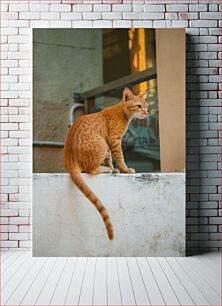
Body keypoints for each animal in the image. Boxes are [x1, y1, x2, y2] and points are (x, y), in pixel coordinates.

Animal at [63, 87, 148, 240]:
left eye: (146, 106)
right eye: (139, 106)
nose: (146, 113)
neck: (122, 112)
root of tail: (69, 158)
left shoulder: (109, 144)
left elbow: (109, 158)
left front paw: (114, 168)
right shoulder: (114, 140)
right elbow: (120, 158)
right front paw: (125, 169)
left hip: (103, 145)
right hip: (101, 144)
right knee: (91, 170)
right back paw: (105, 169)